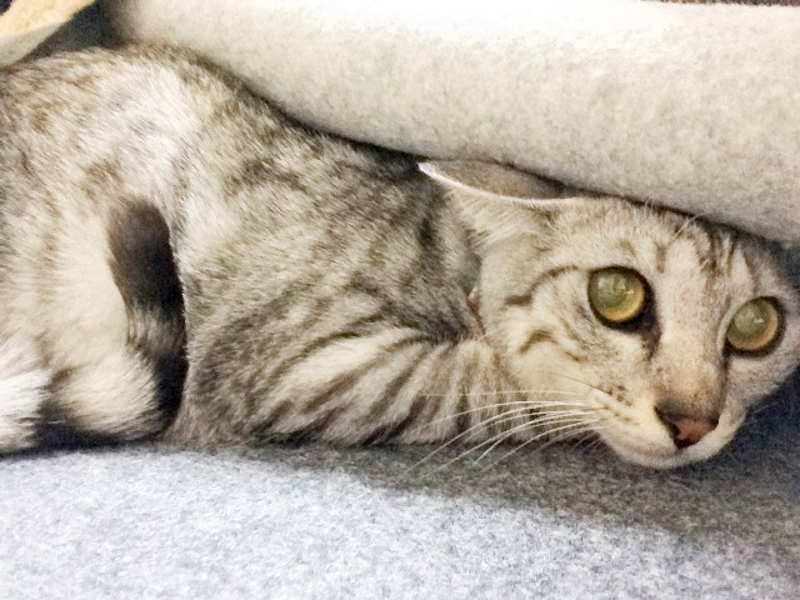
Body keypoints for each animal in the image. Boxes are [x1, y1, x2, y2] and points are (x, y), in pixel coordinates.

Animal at [0, 46, 798, 469]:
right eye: (617, 296)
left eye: (757, 325)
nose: (693, 423)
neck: (442, 257)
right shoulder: (301, 363)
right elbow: (488, 384)